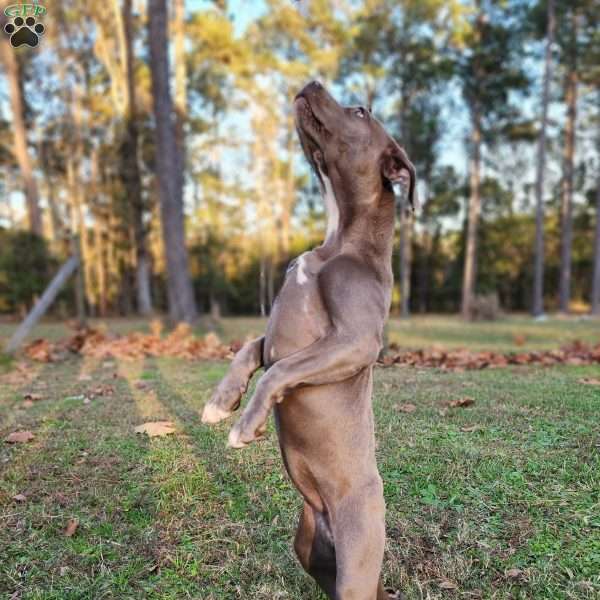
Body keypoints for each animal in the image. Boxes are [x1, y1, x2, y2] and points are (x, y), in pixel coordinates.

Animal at [202, 81, 418, 600]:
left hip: (356, 562)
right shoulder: (276, 335)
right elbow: (250, 350)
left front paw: (246, 425)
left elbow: (279, 370)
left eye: (360, 112)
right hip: (309, 551)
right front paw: (221, 402)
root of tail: (325, 517)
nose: (310, 84)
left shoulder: (355, 342)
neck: (337, 242)